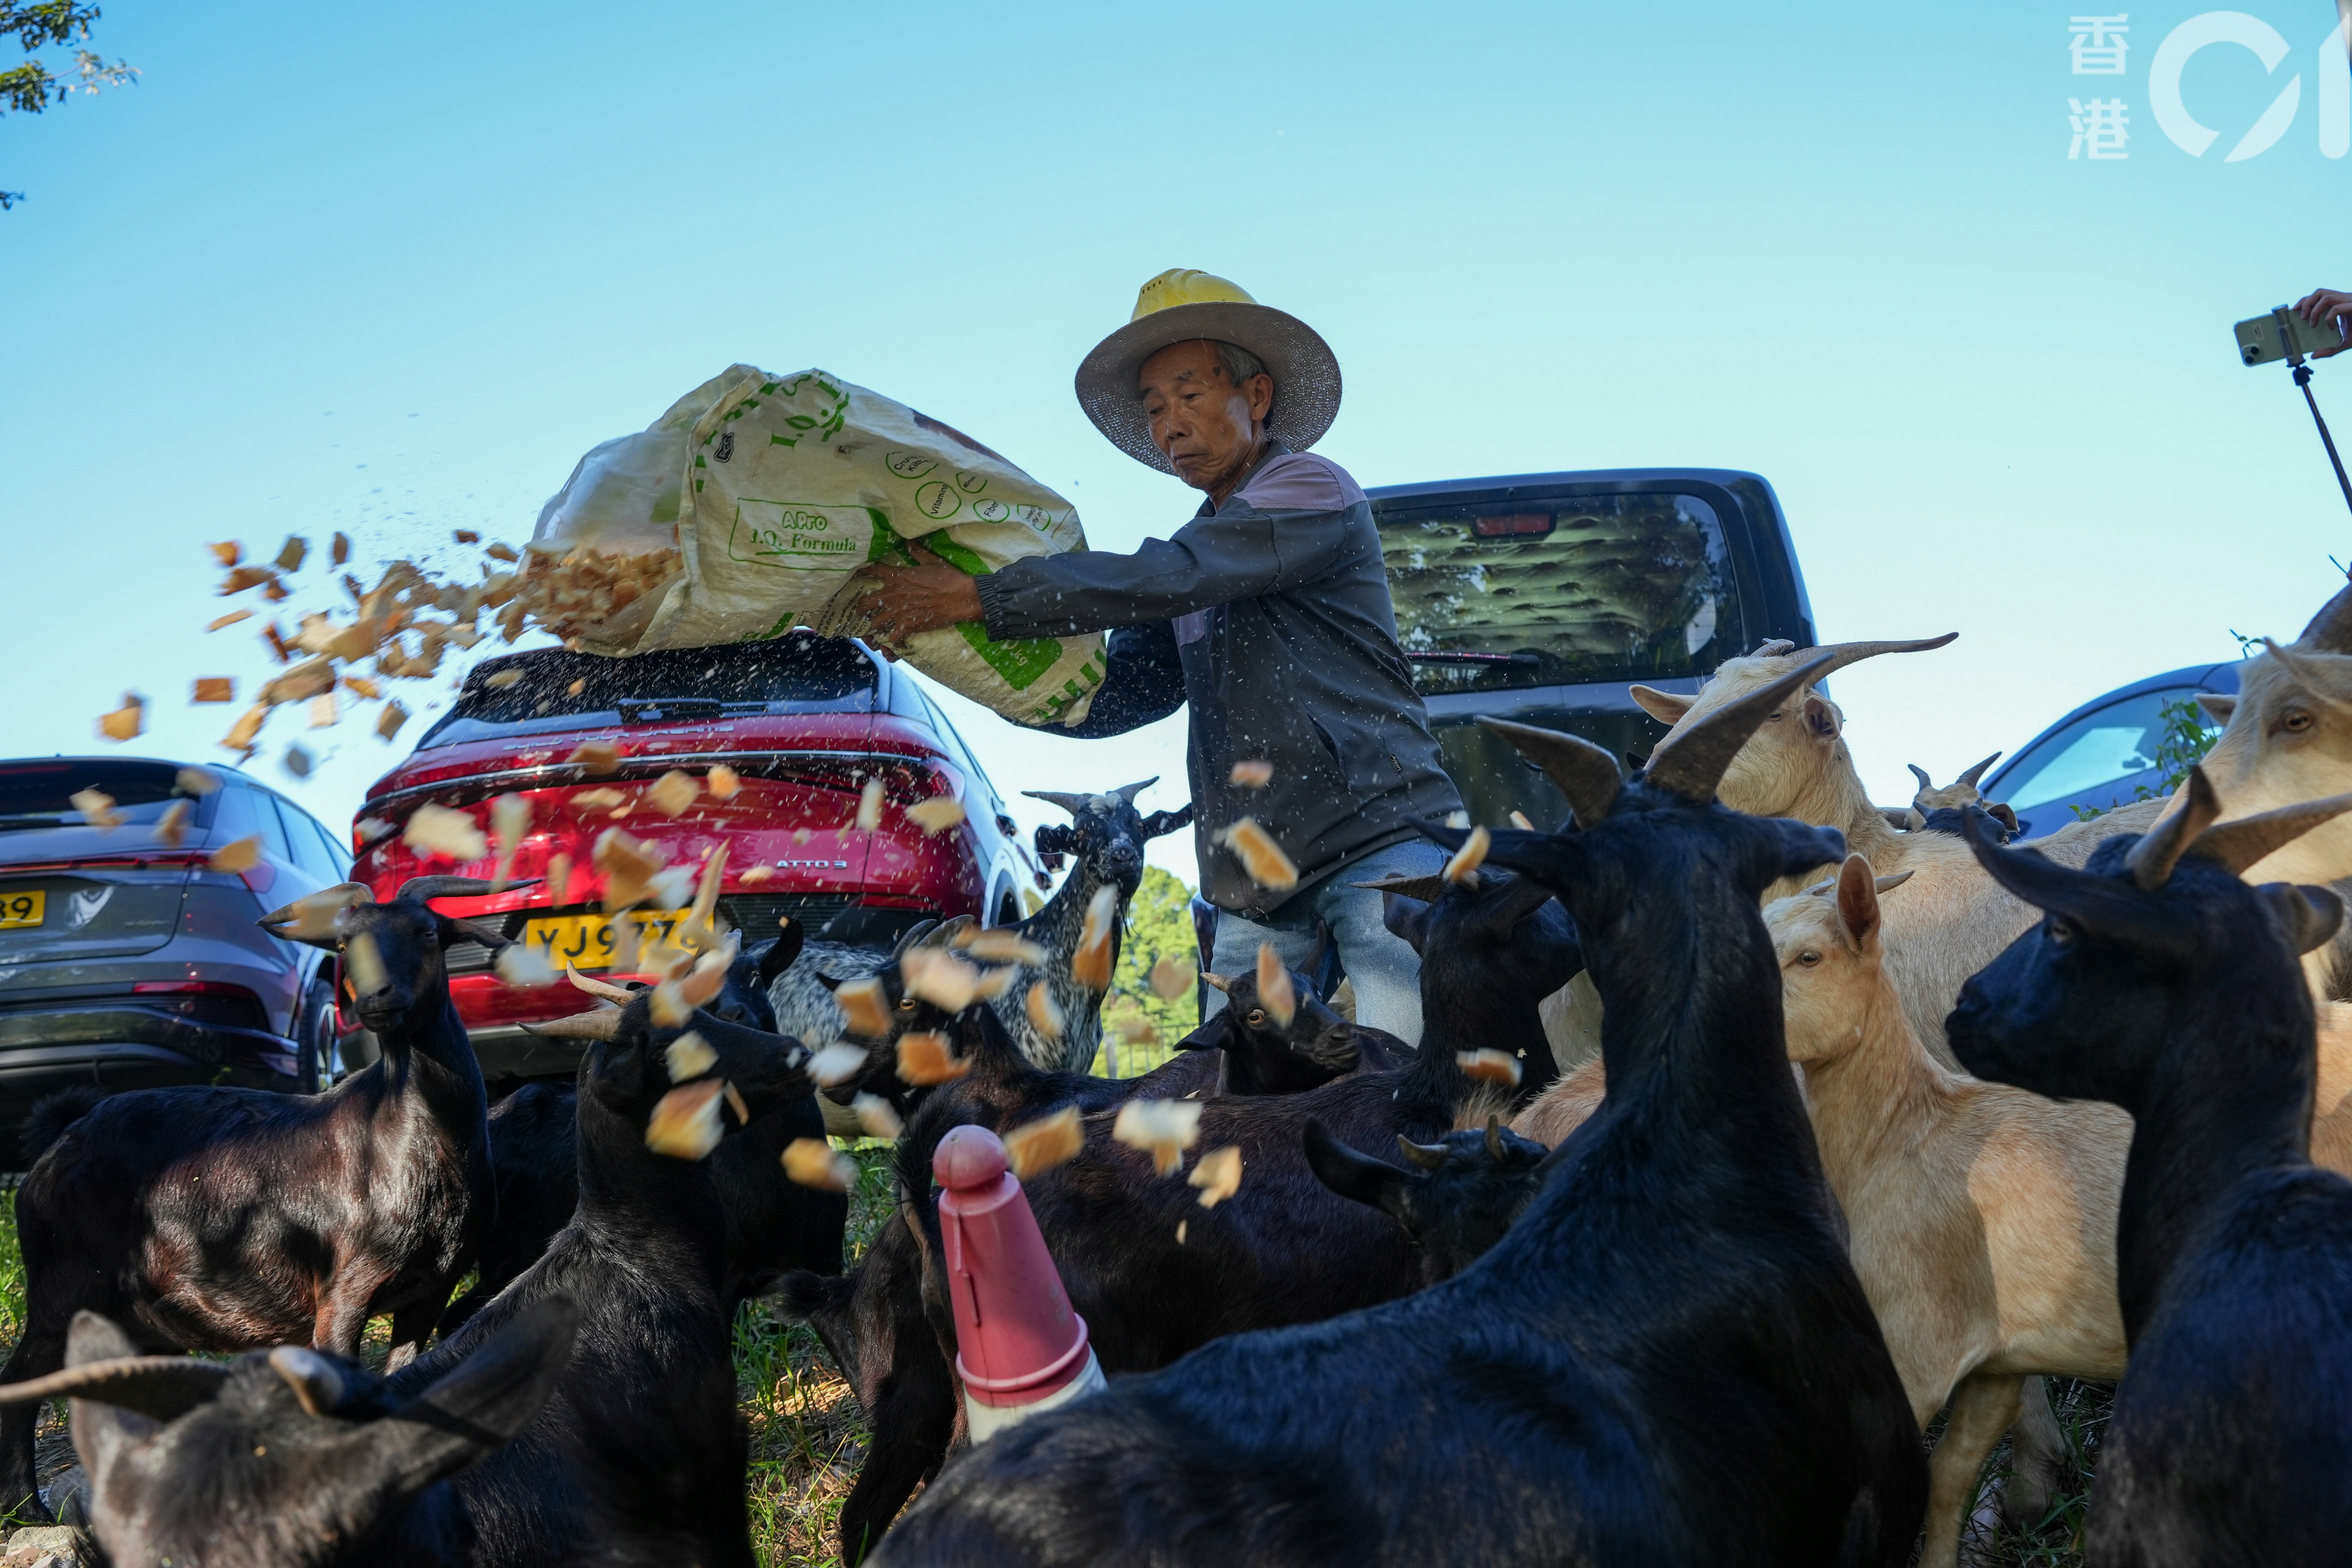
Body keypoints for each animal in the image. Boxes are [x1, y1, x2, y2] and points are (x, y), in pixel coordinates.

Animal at [0, 869, 510, 1523]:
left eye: (426, 932)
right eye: (344, 944)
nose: (377, 996)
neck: (408, 1133)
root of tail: (55, 1139)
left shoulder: (430, 1291)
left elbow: (409, 1378)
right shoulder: (343, 1291)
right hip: (63, 1284)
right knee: (21, 1383)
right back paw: (27, 1511)